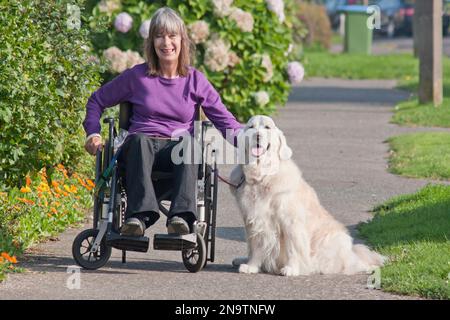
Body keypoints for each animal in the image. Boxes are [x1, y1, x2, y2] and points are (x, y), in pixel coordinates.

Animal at [230, 116, 384, 276]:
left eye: (267, 127)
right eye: (251, 127)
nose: (257, 135)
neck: (263, 176)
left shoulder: (291, 221)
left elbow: (293, 247)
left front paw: (291, 268)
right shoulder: (254, 219)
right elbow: (255, 245)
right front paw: (251, 266)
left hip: (331, 241)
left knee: (351, 264)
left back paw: (368, 267)